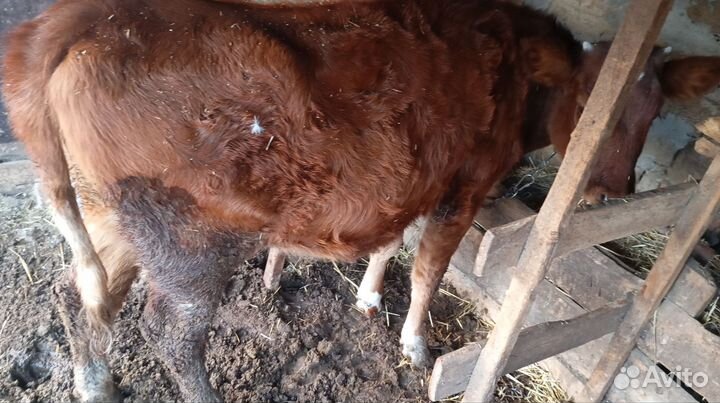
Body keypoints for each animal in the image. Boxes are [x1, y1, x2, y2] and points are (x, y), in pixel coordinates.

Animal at [3, 0, 720, 401]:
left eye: (655, 108)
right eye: (590, 103)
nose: (612, 191)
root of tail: (80, 20)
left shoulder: (413, 176)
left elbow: (392, 242)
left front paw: (370, 297)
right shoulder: (464, 187)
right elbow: (429, 270)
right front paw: (416, 346)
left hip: (109, 216)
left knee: (79, 294)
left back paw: (96, 384)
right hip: (189, 244)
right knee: (171, 335)